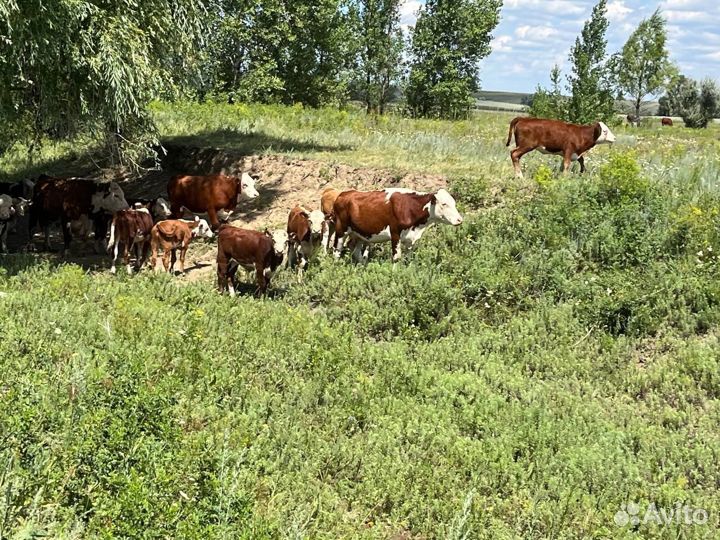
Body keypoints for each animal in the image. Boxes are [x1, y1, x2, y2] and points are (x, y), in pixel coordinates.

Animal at [333, 188, 463, 263]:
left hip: (359, 233)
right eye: (444, 204)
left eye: (454, 203)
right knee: (337, 249)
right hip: (341, 229)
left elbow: (409, 257)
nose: (459, 220)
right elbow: (396, 257)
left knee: (354, 249)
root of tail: (342, 194)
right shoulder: (395, 233)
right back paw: (336, 267)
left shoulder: (410, 237)